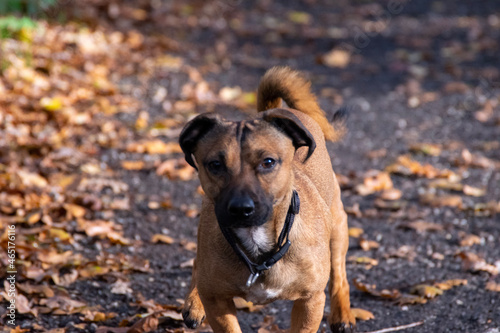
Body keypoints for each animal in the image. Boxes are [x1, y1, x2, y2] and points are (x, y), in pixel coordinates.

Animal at [180, 66, 356, 330]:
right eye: (215, 165)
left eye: (268, 162)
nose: (241, 208)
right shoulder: (218, 303)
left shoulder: (310, 302)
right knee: (197, 266)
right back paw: (194, 301)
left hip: (337, 228)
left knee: (339, 274)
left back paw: (342, 313)